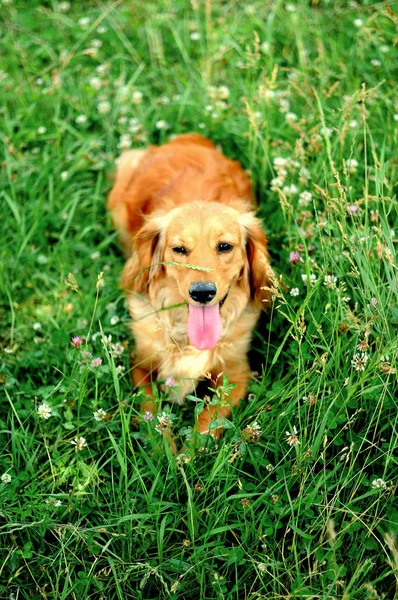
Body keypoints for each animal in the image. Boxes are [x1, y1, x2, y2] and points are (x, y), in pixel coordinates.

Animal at [107, 134, 274, 438]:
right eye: (179, 249)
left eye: (225, 246)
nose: (202, 292)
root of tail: (188, 138)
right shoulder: (141, 366)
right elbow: (152, 416)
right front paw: (166, 448)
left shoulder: (236, 374)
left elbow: (208, 422)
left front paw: (191, 449)